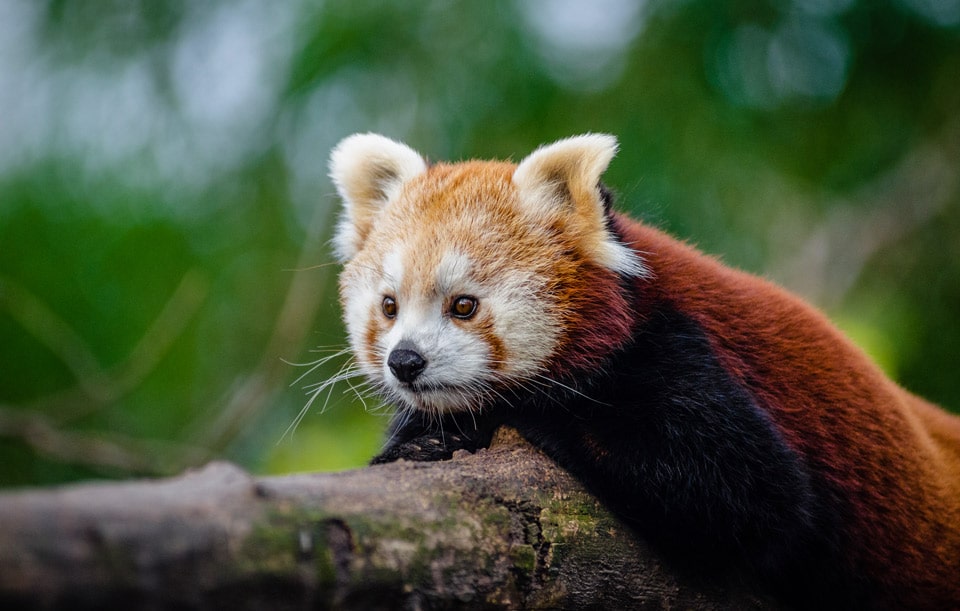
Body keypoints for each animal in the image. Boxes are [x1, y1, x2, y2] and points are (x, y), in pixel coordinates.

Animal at [328, 133, 960, 608]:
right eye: (389, 306)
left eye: (464, 305)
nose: (405, 361)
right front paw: (419, 439)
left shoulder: (678, 350)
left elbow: (752, 496)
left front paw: (516, 413)